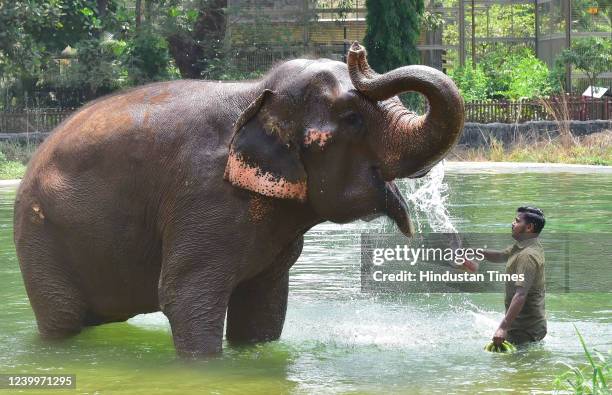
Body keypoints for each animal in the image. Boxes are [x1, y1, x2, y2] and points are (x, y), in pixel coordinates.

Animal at [13, 43, 464, 358]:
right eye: (353, 119)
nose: (357, 51)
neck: (258, 94)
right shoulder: (203, 195)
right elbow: (183, 296)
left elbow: (264, 305)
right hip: (41, 241)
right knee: (63, 319)